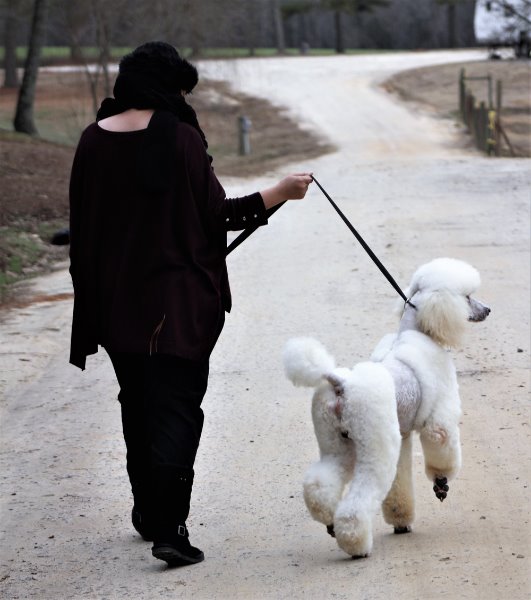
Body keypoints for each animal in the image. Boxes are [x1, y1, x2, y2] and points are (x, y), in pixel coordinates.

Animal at [283, 258, 490, 558]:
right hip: (373, 440)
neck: (416, 333)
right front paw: (441, 483)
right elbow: (439, 438)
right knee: (362, 495)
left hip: (336, 440)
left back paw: (331, 523)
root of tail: (341, 384)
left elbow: (399, 481)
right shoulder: (438, 416)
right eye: (467, 297)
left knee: (320, 481)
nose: (487, 310)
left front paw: (401, 520)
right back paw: (355, 544)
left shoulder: (401, 435)